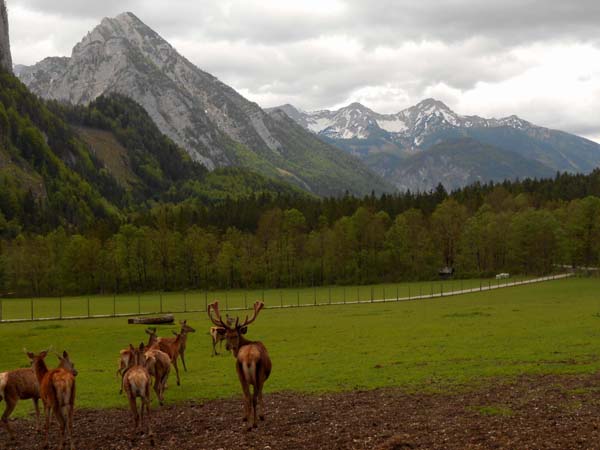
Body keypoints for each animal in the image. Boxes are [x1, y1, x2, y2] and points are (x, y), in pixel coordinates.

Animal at [207, 300, 270, 430]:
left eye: (235, 335)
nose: (227, 347)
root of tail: (249, 357)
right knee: (252, 397)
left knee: (247, 396)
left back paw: (248, 423)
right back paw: (253, 423)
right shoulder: (262, 379)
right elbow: (260, 395)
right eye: (226, 335)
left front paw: (246, 417)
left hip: (240, 374)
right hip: (258, 375)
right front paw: (261, 416)